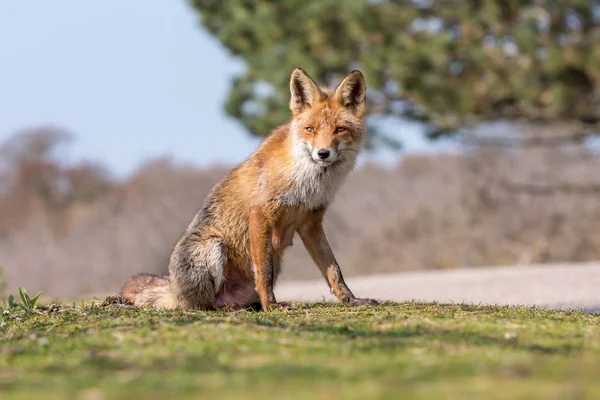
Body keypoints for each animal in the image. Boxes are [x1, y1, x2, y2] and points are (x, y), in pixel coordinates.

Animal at [119, 69, 378, 310]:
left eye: (339, 130)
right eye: (310, 129)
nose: (323, 153)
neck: (309, 182)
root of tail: (174, 288)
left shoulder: (310, 222)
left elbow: (333, 269)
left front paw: (351, 300)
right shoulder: (262, 212)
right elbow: (264, 270)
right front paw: (271, 306)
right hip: (213, 245)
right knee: (203, 304)